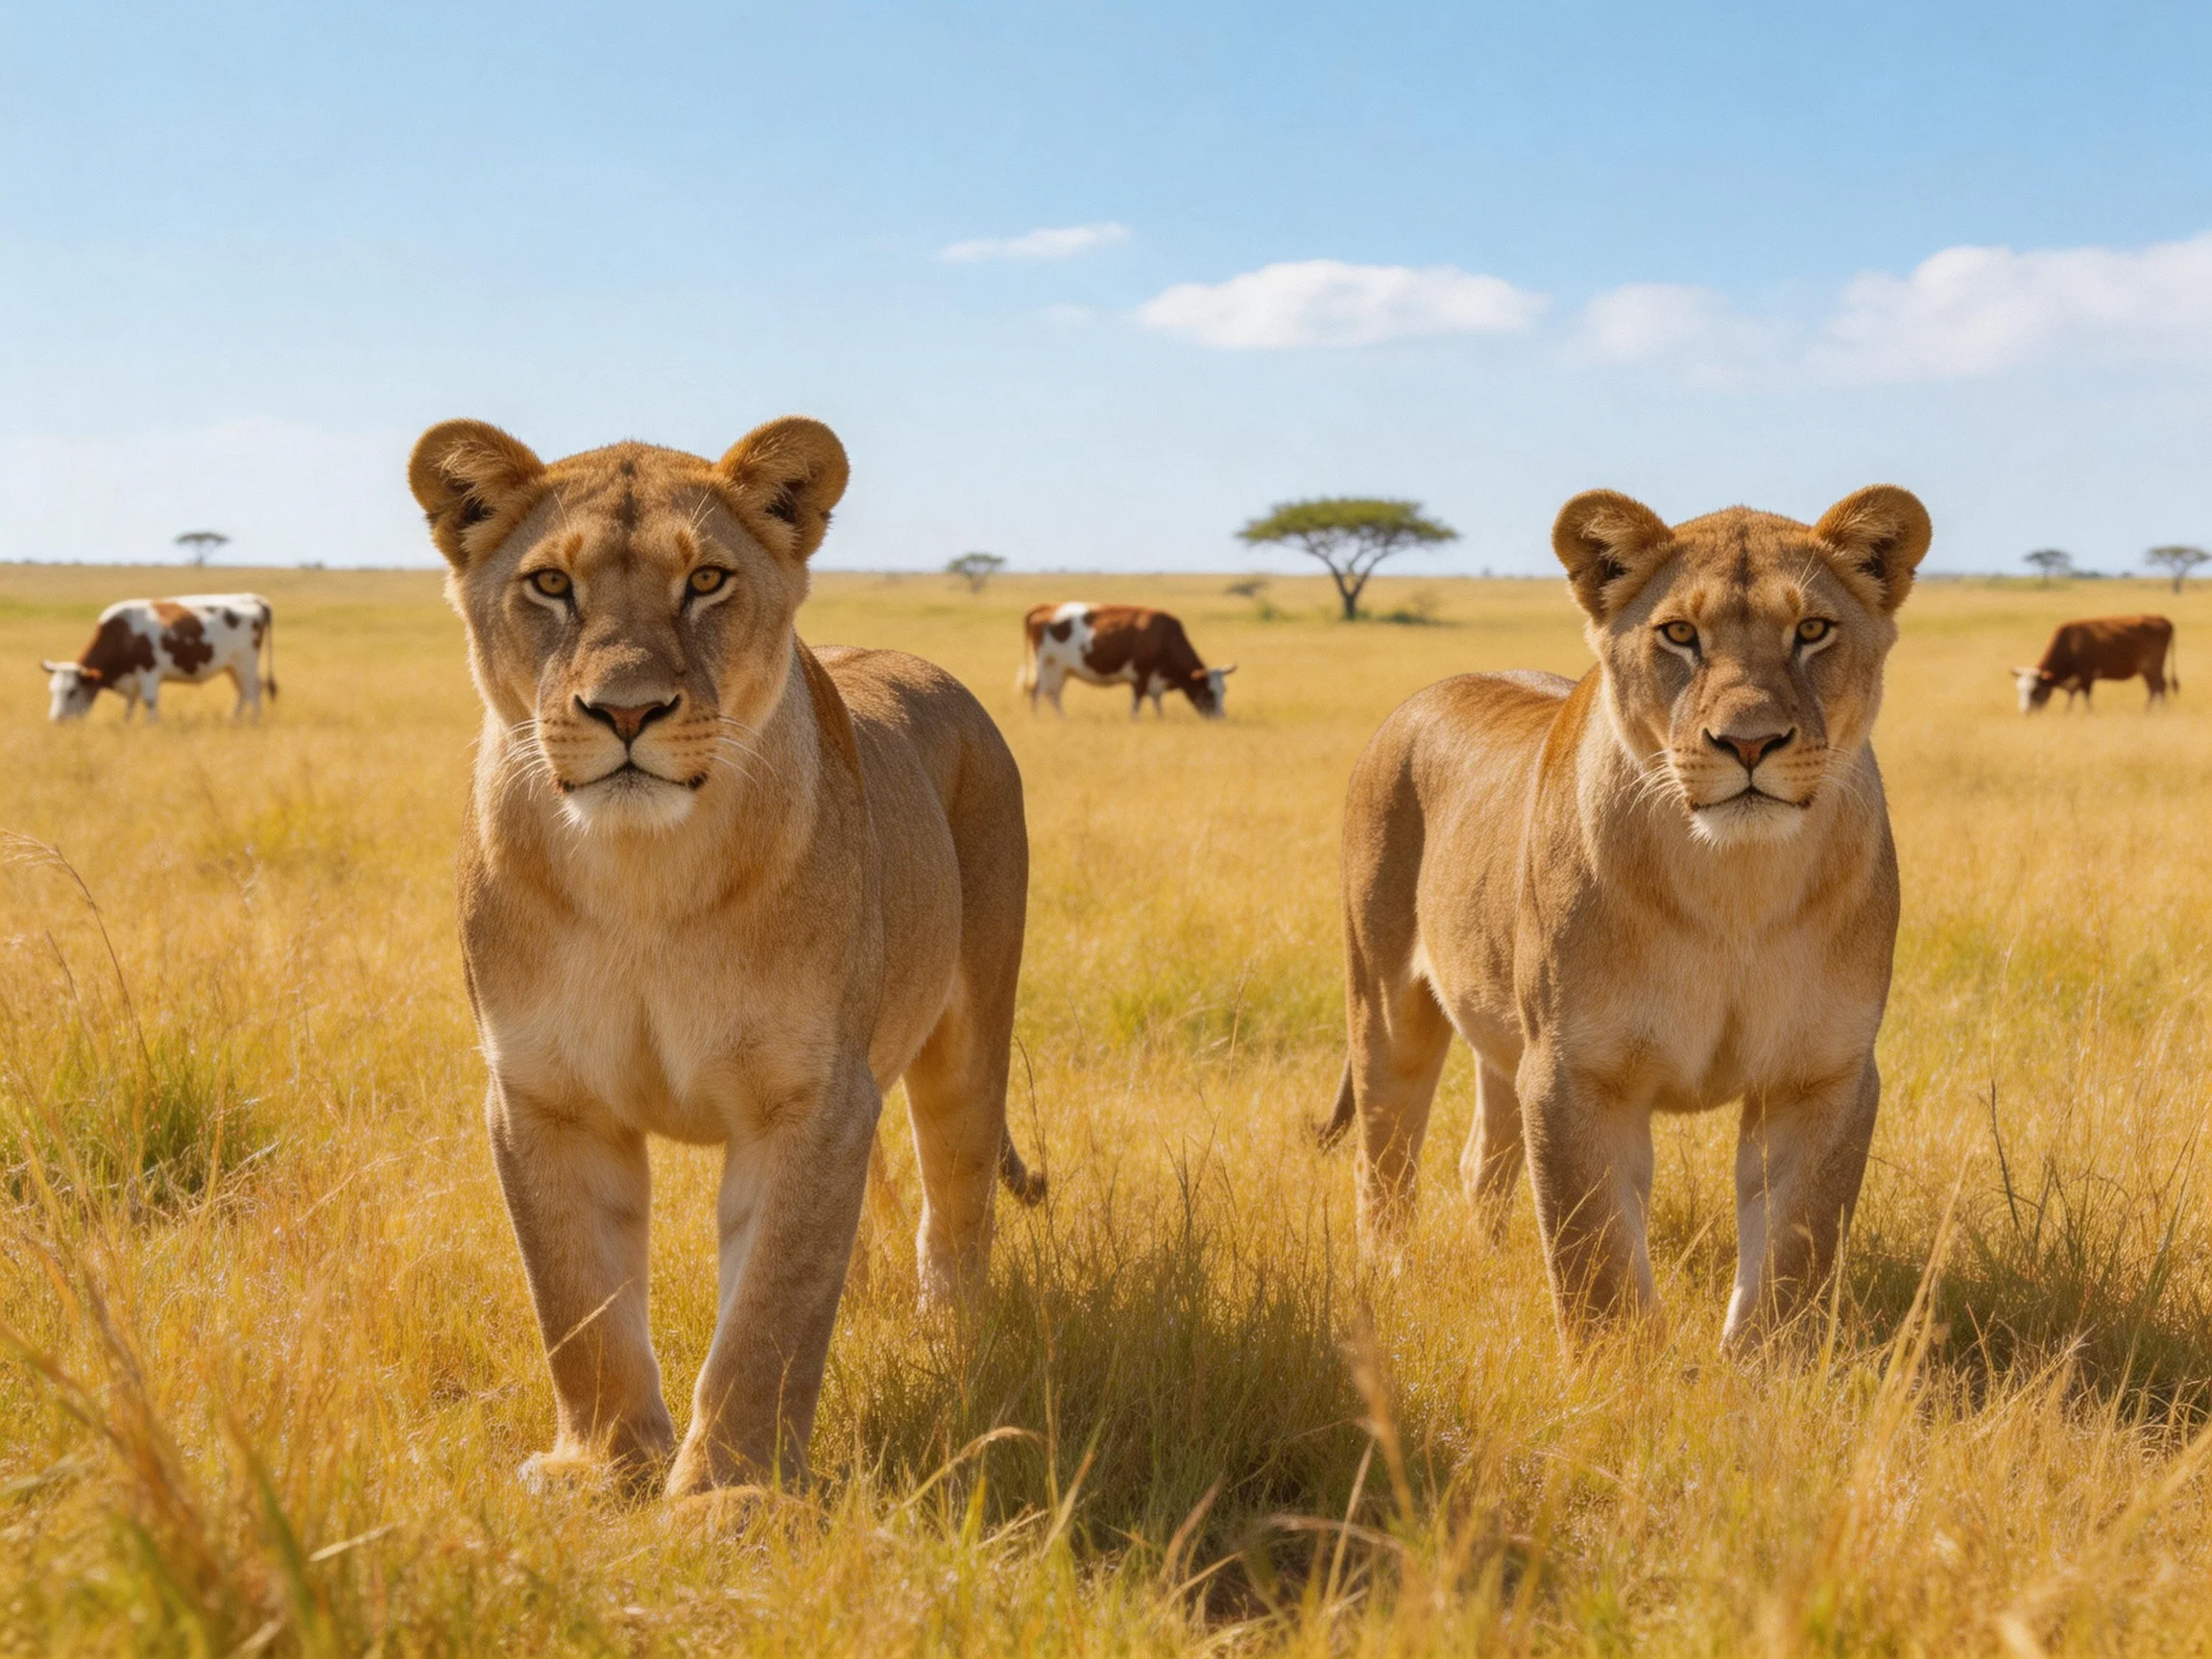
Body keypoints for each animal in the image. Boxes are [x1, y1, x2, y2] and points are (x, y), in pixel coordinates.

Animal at [43, 594, 276, 722]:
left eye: (72, 691)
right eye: (52, 691)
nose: (57, 720)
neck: (124, 633)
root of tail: (252, 598)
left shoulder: (149, 672)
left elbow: (149, 702)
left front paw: (151, 727)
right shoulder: (131, 680)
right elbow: (129, 706)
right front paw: (128, 724)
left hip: (245, 663)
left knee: (252, 690)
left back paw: (252, 721)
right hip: (232, 666)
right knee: (245, 691)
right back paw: (235, 720)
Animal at [1018, 602, 1236, 719]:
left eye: (1224, 690)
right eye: (1208, 692)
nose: (1220, 717)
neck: (1164, 637)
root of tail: (1045, 607)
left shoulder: (1155, 679)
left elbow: (1157, 702)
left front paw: (1160, 718)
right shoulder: (1141, 675)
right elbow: (1137, 703)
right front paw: (1136, 720)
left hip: (1061, 670)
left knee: (1053, 695)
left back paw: (1062, 718)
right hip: (1047, 664)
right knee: (1038, 691)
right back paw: (1038, 718)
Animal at [2013, 614, 2176, 713]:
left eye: (2036, 690)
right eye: (2020, 690)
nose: (2025, 712)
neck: (2069, 643)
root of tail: (2162, 619)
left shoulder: (2087, 676)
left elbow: (2086, 698)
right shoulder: (2075, 682)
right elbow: (2070, 698)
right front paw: (2067, 712)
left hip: (2152, 667)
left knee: (2159, 686)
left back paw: (2155, 710)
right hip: (2147, 670)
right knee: (2154, 688)